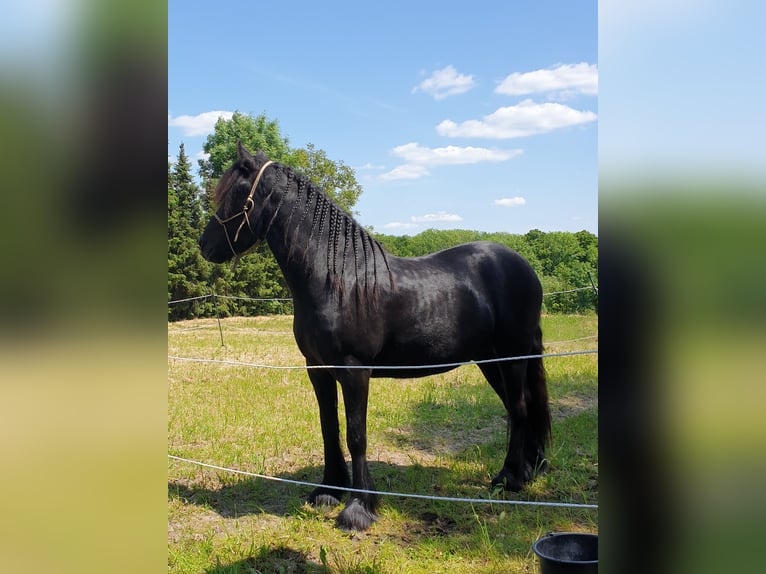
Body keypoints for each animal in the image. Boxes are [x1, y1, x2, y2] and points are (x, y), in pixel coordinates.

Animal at [200, 146, 552, 532]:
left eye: (236, 195)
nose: (204, 245)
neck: (336, 280)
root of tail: (524, 267)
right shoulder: (318, 369)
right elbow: (329, 426)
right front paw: (328, 490)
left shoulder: (355, 371)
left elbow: (356, 435)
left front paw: (358, 508)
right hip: (490, 361)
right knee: (519, 407)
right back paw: (529, 469)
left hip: (512, 357)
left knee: (518, 408)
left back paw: (509, 479)